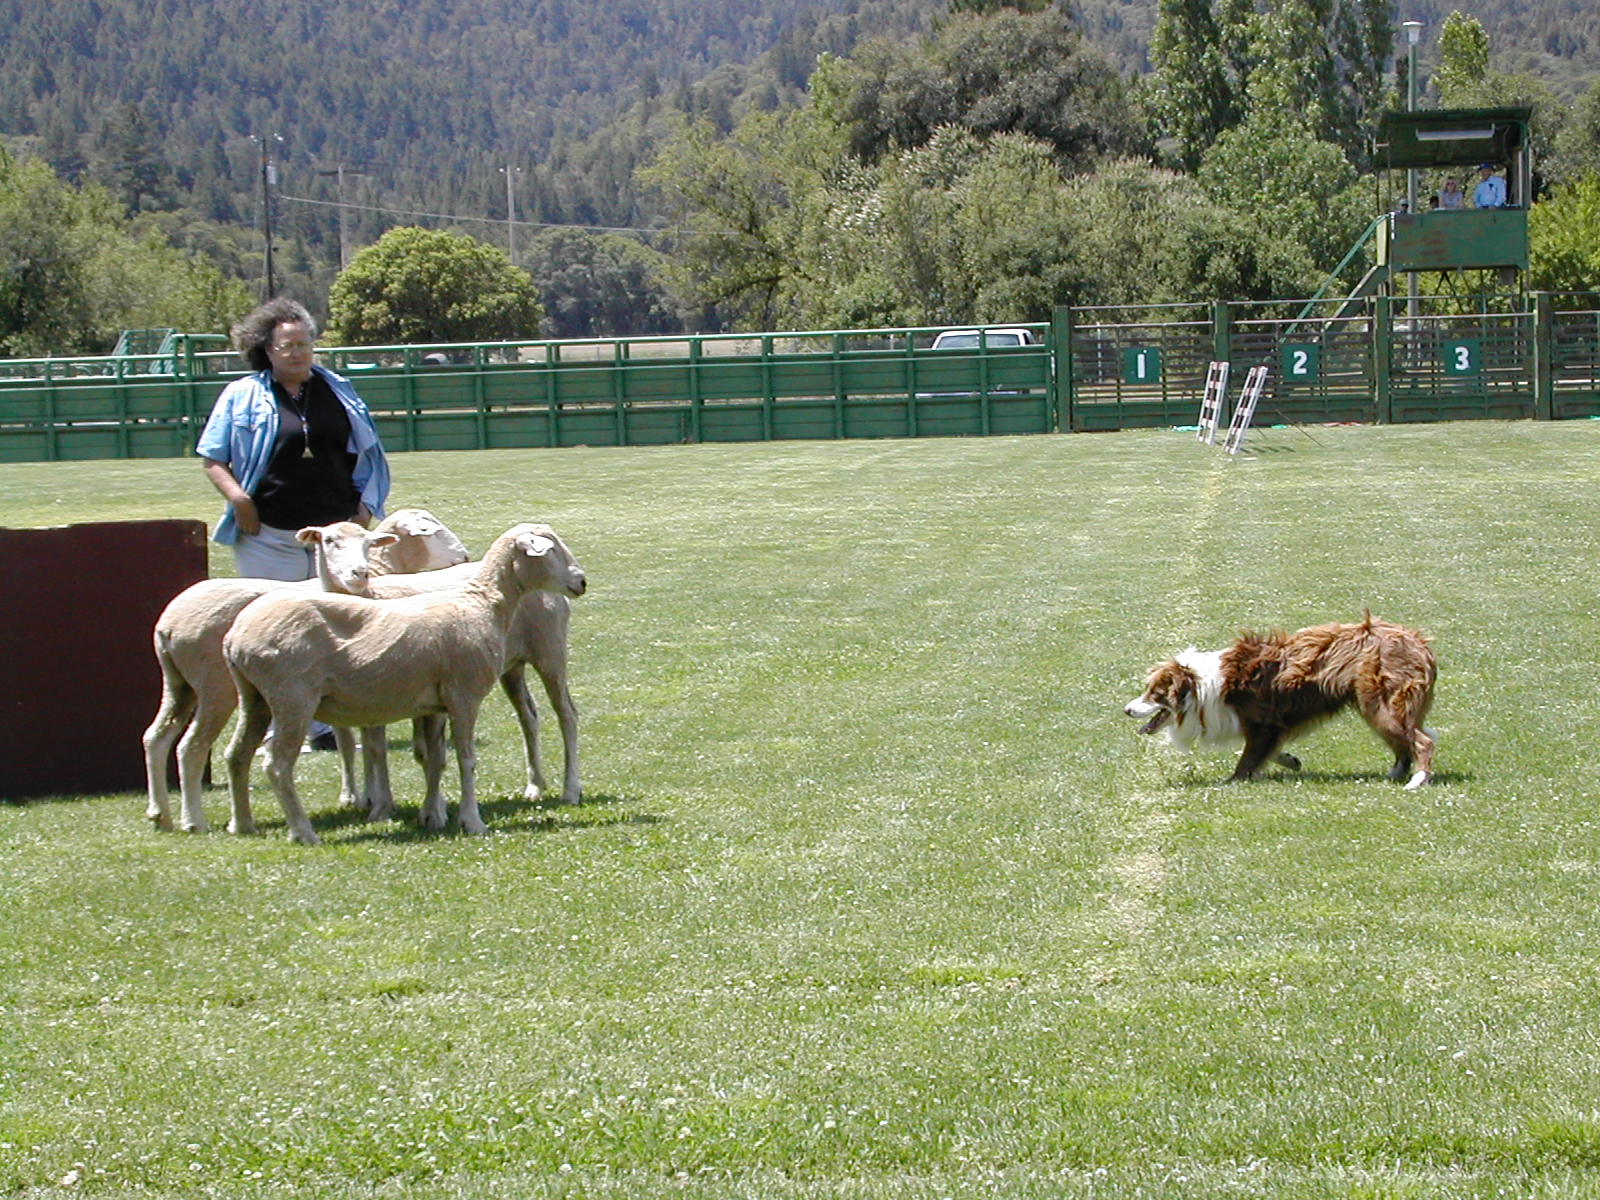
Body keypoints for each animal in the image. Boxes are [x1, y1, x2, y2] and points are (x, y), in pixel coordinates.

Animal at [141, 508, 467, 838]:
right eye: (329, 541)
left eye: (367, 543)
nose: (463, 555)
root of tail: (166, 623)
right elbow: (388, 748)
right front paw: (387, 803)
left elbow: (360, 744)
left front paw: (365, 798)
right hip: (216, 688)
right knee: (192, 747)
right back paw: (194, 819)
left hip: (179, 684)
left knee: (157, 737)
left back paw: (161, 814)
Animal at [219, 524, 582, 844]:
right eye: (551, 550)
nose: (582, 581)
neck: (482, 603)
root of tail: (236, 637)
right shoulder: (463, 695)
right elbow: (466, 759)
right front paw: (472, 820)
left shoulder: (434, 703)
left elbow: (434, 758)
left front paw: (432, 815)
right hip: (292, 698)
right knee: (277, 764)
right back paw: (303, 832)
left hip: (254, 698)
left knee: (236, 753)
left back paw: (242, 825)